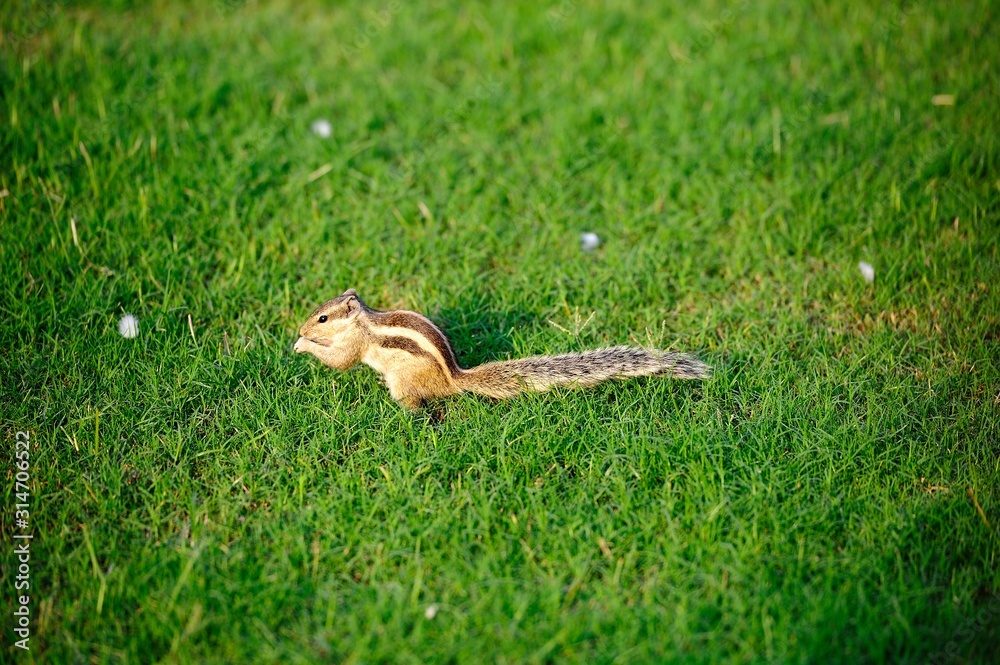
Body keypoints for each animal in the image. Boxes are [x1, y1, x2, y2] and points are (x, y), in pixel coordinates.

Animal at [292, 288, 712, 408]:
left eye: (322, 318)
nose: (301, 326)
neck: (363, 320)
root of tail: (454, 381)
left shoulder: (356, 344)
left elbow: (340, 360)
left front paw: (303, 345)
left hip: (405, 381)